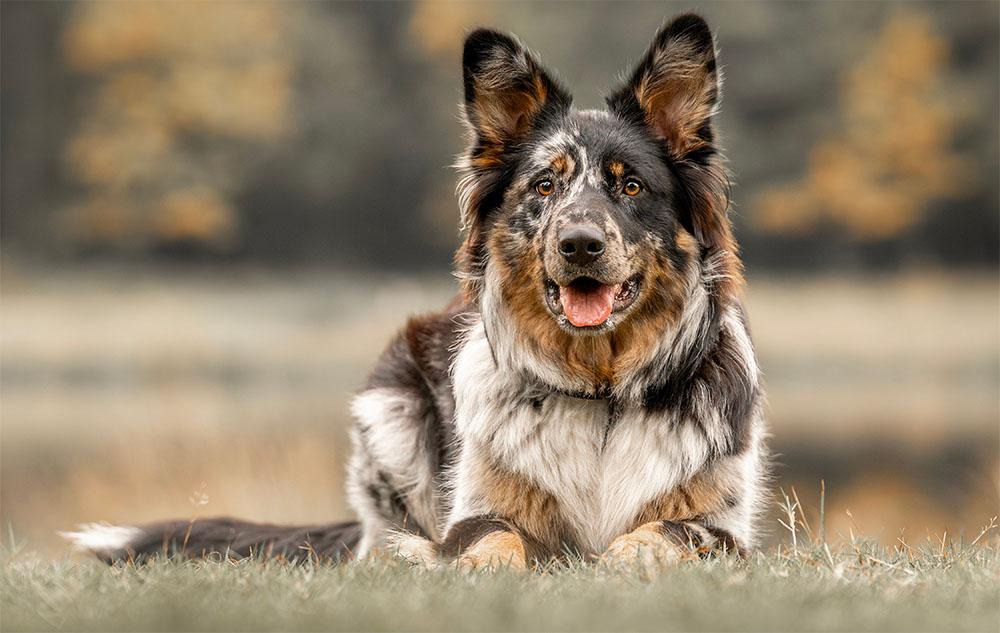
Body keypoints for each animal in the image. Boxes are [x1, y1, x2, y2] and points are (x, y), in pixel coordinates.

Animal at [64, 12, 764, 572]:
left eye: (631, 186)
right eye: (544, 186)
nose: (579, 245)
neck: (600, 397)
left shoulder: (723, 526)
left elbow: (663, 534)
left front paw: (621, 562)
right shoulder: (476, 509)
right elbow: (491, 539)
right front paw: (477, 572)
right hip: (389, 414)